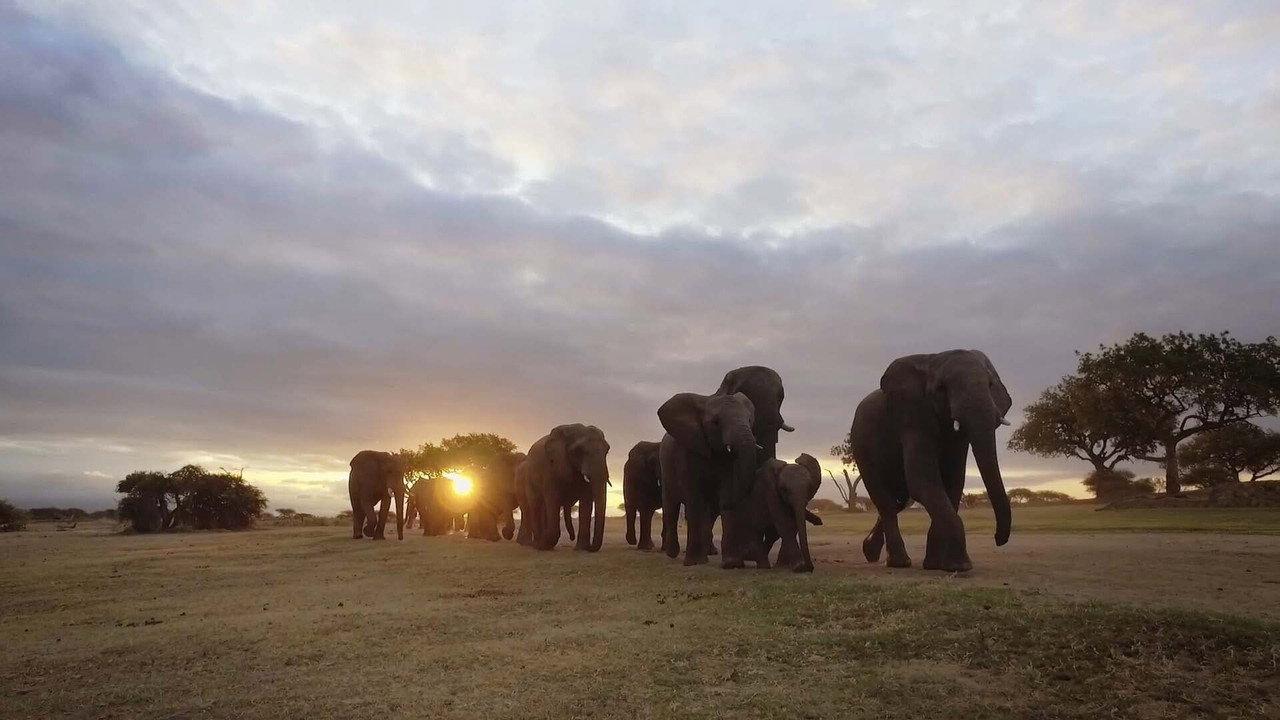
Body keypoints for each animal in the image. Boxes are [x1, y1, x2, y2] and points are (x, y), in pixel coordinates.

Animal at [658, 391, 758, 566]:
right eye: (716, 422)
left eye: (750, 420)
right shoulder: (687, 451)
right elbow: (695, 499)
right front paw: (695, 563)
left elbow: (725, 491)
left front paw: (731, 564)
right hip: (666, 468)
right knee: (671, 507)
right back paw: (672, 553)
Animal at [848, 350, 1013, 572]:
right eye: (942, 388)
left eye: (990, 384)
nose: (998, 539)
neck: (933, 359)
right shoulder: (913, 417)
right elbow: (923, 480)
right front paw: (960, 566)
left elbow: (953, 482)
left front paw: (935, 565)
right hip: (862, 447)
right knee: (886, 501)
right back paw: (898, 563)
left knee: (899, 500)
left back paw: (871, 552)